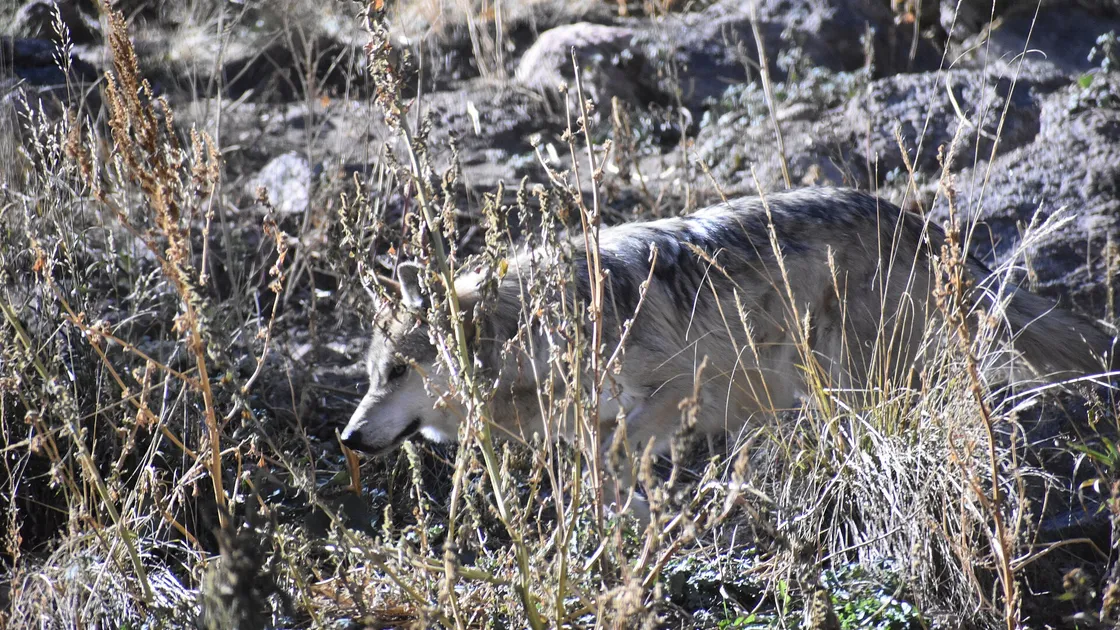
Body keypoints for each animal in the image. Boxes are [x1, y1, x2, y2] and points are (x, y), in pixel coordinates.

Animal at [340, 188, 1113, 462]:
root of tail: (919, 222)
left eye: (398, 371)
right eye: (374, 375)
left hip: (851, 372)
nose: (345, 437)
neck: (534, 334)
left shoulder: (678, 391)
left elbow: (621, 461)